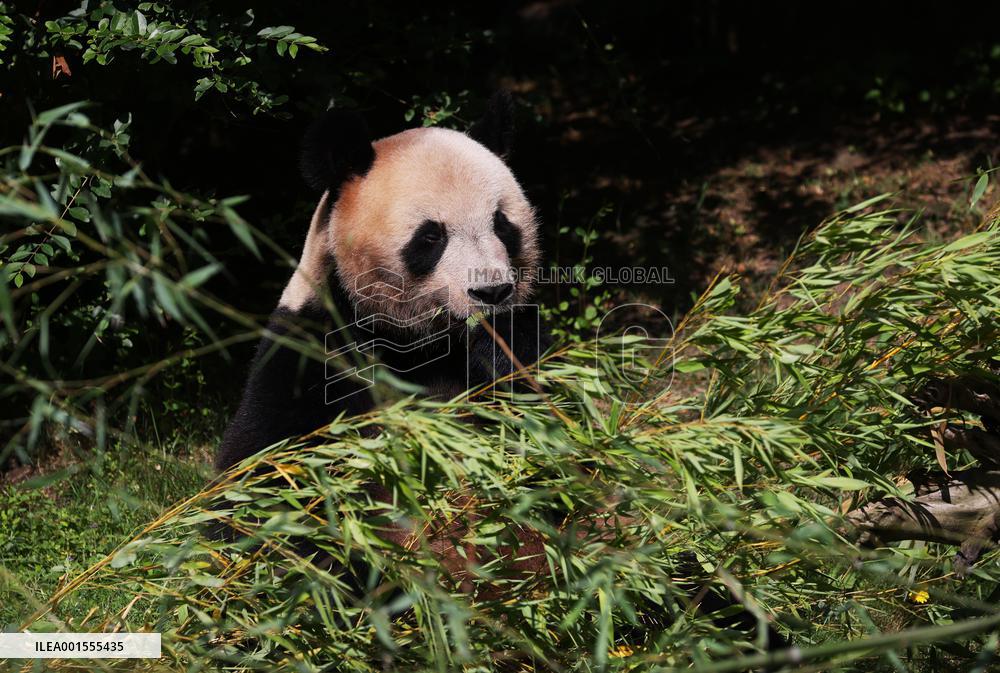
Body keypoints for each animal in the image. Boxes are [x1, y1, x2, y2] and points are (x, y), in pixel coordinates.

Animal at [215, 91, 549, 471]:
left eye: (501, 225)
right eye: (431, 237)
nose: (491, 292)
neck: (419, 342)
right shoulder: (312, 346)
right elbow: (260, 454)